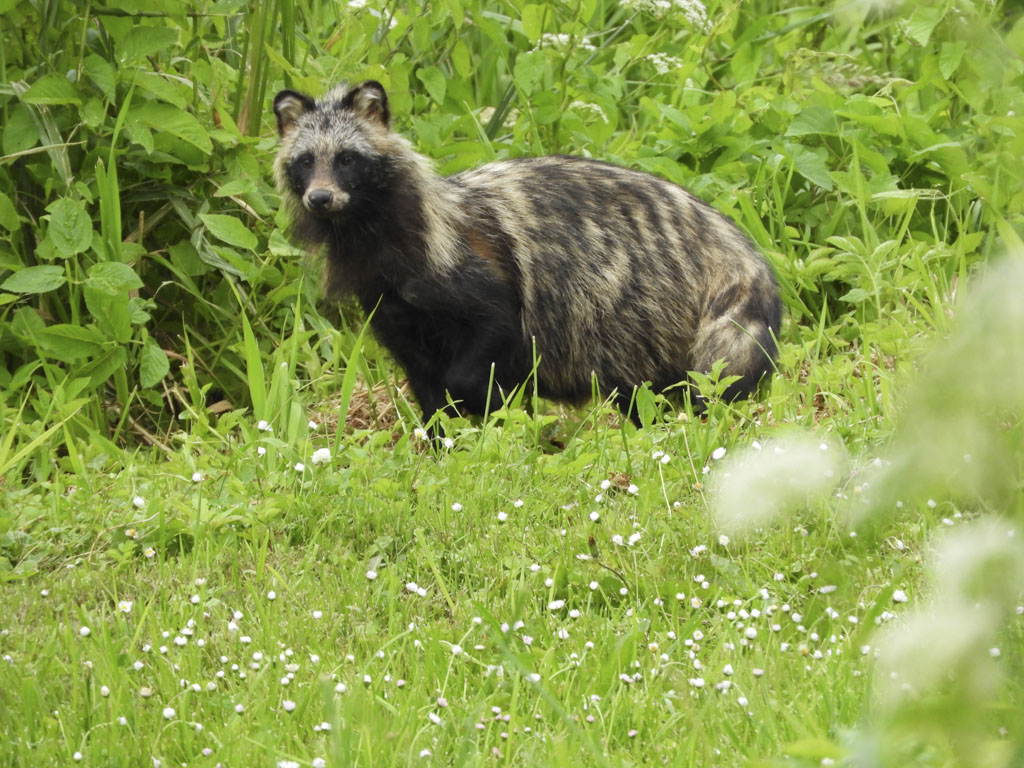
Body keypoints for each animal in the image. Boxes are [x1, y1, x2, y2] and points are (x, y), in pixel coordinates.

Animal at [272, 82, 774, 428]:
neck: (370, 234)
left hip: (637, 307)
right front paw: (444, 446)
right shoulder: (393, 312)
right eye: (305, 161)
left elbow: (491, 334)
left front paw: (497, 406)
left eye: (347, 158)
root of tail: (724, 234)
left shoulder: (468, 269)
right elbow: (428, 391)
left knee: (643, 385)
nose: (320, 198)